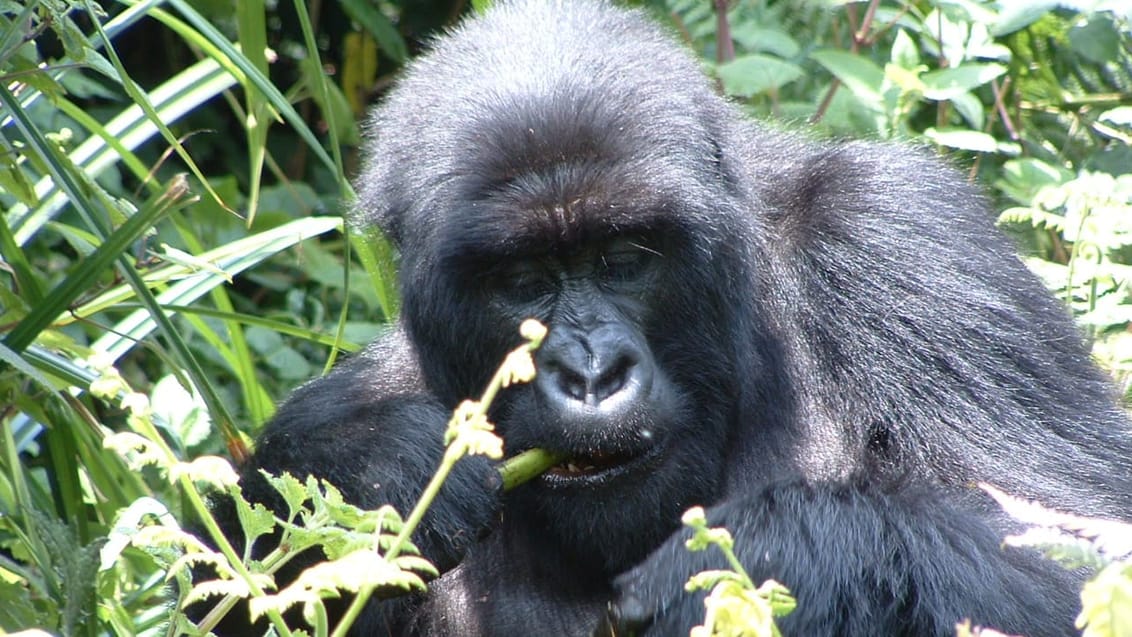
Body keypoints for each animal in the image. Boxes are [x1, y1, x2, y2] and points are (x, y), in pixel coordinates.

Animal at [225, 1, 1132, 637]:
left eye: (626, 259)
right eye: (521, 281)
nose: (591, 374)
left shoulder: (902, 235)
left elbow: (1081, 553)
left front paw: (769, 549)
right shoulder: (362, 383)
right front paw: (368, 465)